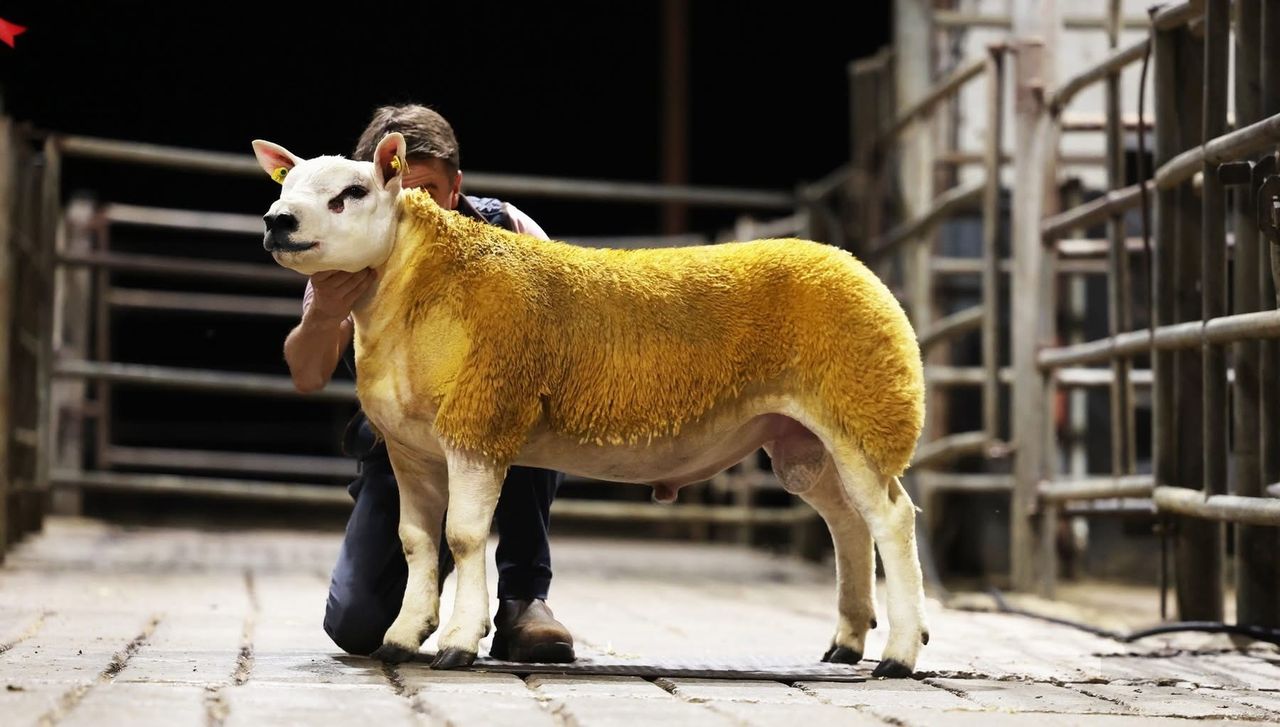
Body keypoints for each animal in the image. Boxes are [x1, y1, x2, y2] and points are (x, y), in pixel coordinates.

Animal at [251, 132, 929, 677]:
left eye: (352, 192)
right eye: (291, 186)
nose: (278, 221)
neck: (417, 283)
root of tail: (853, 265)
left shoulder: (480, 421)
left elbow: (465, 538)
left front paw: (458, 643)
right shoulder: (410, 447)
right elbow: (417, 541)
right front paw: (401, 637)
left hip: (863, 406)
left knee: (891, 520)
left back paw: (898, 655)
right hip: (802, 437)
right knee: (847, 521)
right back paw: (847, 641)